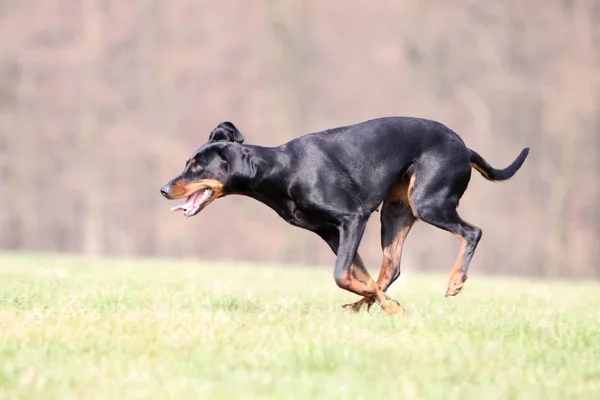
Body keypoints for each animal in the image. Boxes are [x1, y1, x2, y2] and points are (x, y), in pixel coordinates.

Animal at [161, 117, 528, 314]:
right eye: (187, 163)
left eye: (197, 167)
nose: (164, 189)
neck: (283, 170)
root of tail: (465, 149)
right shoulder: (331, 232)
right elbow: (359, 276)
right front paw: (384, 304)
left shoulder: (352, 218)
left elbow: (341, 275)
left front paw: (391, 307)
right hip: (395, 212)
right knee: (391, 268)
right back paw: (364, 305)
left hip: (428, 202)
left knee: (472, 232)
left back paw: (454, 282)